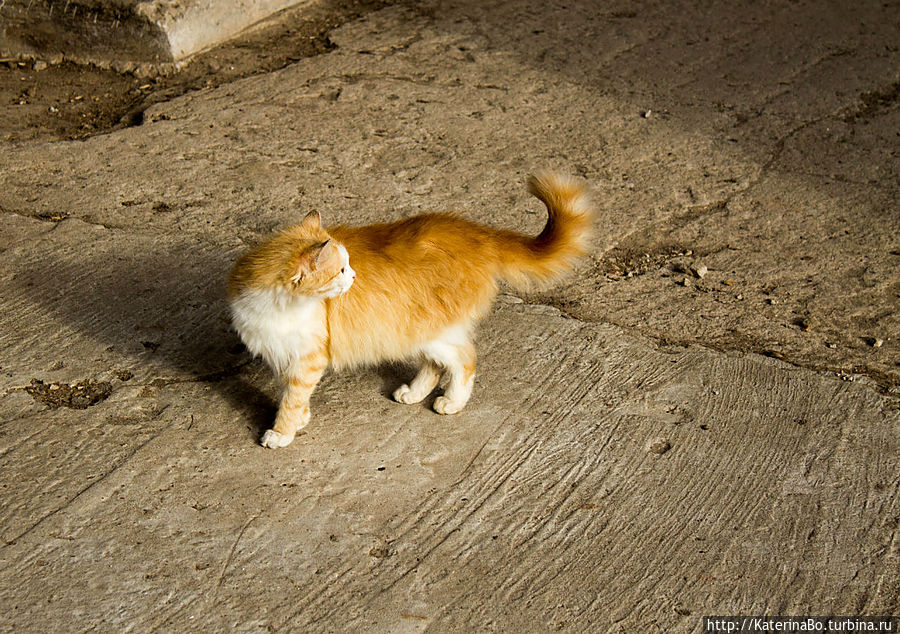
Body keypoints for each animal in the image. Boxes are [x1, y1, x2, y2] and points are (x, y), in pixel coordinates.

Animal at [229, 170, 592, 446]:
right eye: (342, 270)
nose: (355, 275)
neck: (279, 303)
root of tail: (476, 233)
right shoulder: (284, 353)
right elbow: (292, 395)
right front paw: (301, 419)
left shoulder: (307, 357)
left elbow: (291, 400)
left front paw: (281, 433)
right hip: (417, 332)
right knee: (435, 366)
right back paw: (413, 394)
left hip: (433, 332)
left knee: (465, 360)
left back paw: (451, 403)